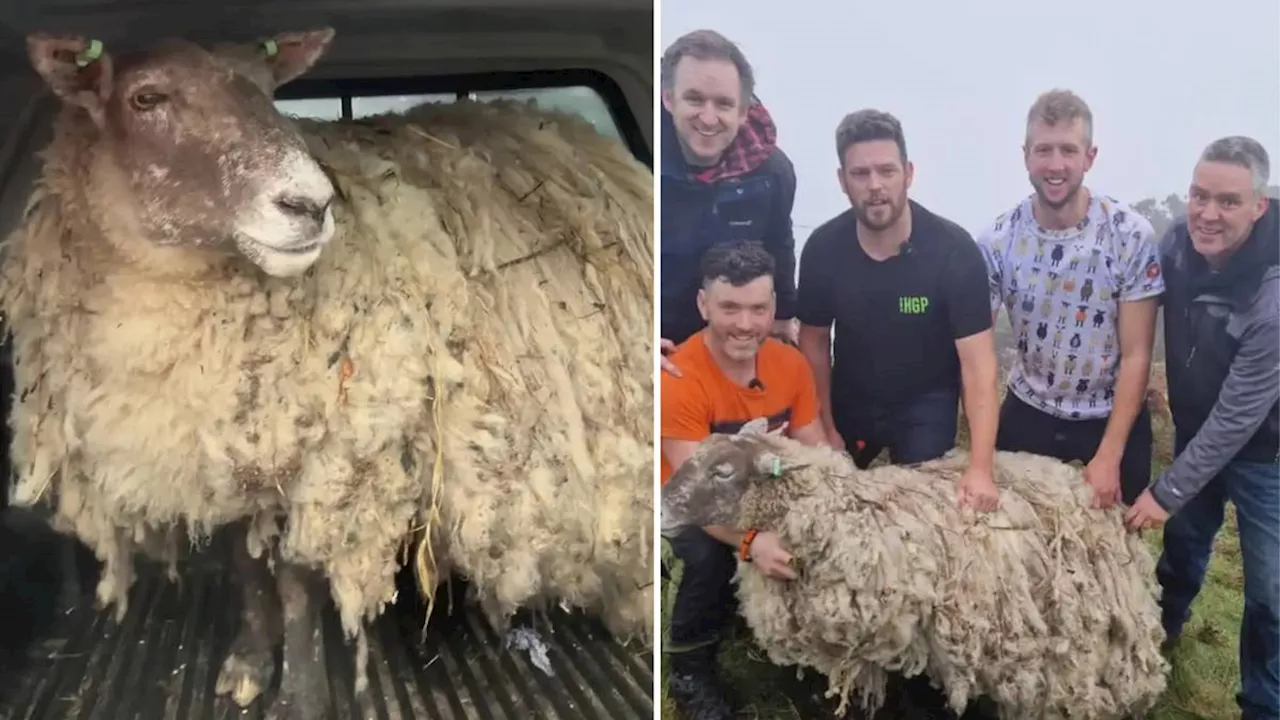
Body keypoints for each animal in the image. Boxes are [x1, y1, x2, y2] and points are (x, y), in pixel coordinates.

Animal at [0, 25, 655, 712]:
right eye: (146, 97)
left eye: (268, 91)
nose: (310, 204)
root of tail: (562, 124)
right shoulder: (229, 451)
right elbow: (245, 565)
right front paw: (248, 659)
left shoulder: (324, 459)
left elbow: (294, 583)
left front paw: (299, 696)